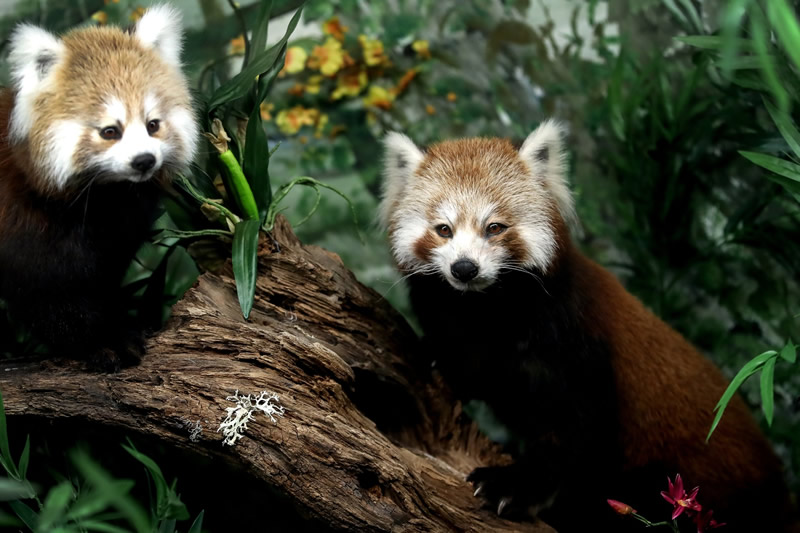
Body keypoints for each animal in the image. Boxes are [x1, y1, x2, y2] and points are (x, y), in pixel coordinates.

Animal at [0, 5, 198, 370]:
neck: (106, 196)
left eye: (152, 125)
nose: (144, 160)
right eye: (110, 131)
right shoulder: (23, 224)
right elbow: (48, 294)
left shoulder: (117, 228)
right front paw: (103, 342)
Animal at [380, 121, 792, 532]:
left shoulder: (573, 341)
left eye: (494, 227)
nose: (464, 268)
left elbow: (574, 430)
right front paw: (433, 354)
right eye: (443, 229)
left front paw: (513, 485)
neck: (488, 310)